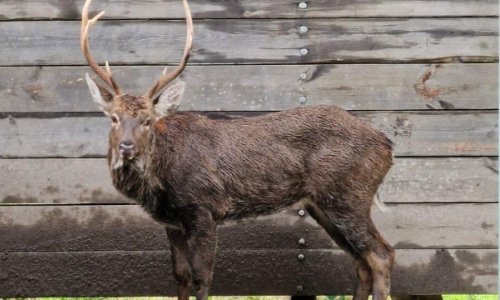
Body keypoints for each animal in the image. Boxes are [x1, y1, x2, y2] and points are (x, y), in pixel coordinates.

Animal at [81, 0, 394, 300]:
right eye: (114, 117)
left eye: (147, 120)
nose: (127, 146)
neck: (161, 181)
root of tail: (387, 145)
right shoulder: (173, 223)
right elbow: (180, 278)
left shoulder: (203, 208)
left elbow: (202, 279)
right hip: (324, 205)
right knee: (361, 262)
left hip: (349, 197)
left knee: (382, 255)